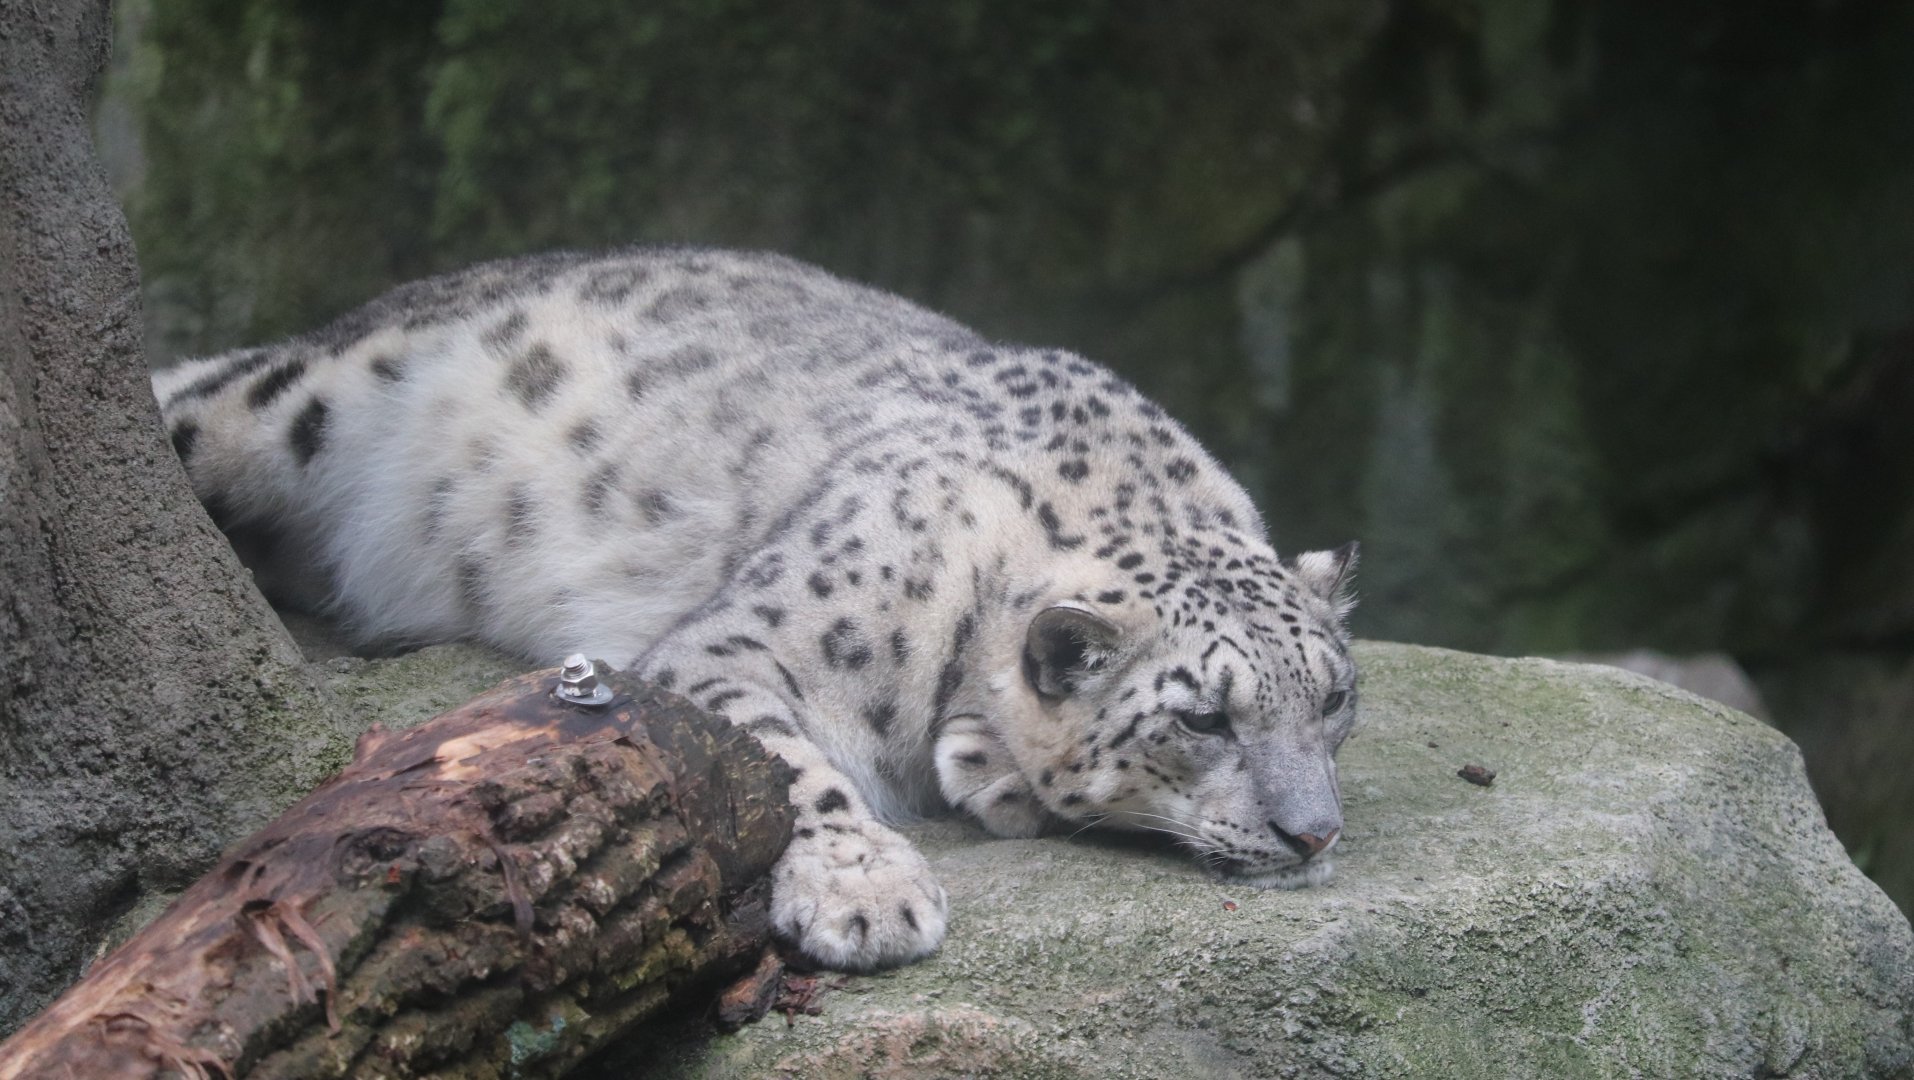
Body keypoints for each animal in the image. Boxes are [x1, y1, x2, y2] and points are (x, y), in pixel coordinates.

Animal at [151, 246, 1361, 972]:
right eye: (1203, 718)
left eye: (1336, 699)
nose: (1314, 833)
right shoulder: (737, 646)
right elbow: (788, 761)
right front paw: (868, 891)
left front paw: (988, 768)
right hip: (296, 404)